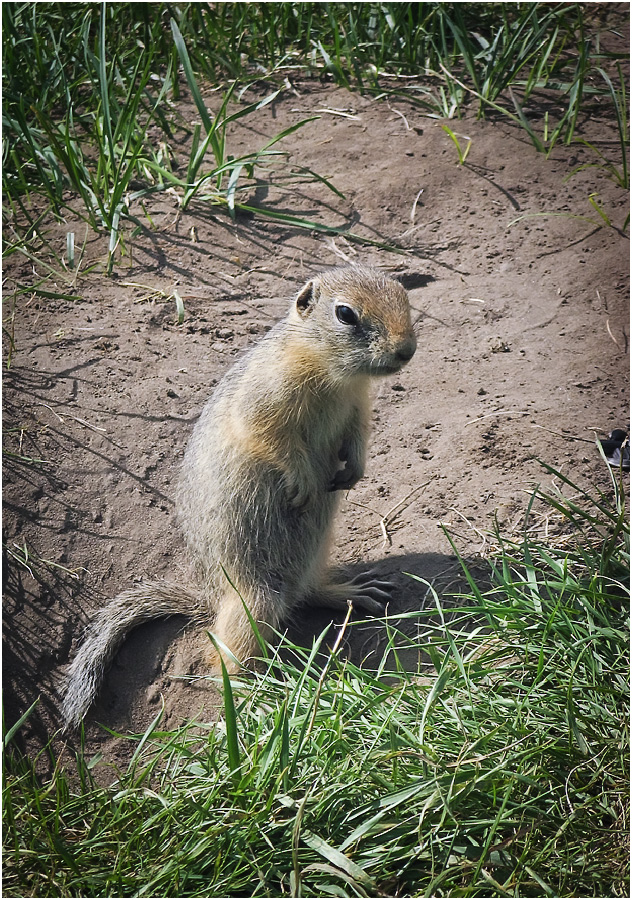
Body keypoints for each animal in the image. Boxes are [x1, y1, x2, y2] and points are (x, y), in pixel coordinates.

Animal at [61, 266, 418, 724]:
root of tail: (208, 597)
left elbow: (357, 437)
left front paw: (354, 471)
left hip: (315, 553)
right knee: (223, 658)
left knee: (306, 593)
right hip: (255, 600)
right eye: (345, 314)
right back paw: (258, 693)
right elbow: (269, 438)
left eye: (403, 295)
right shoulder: (266, 396)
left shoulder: (358, 406)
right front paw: (303, 481)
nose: (407, 350)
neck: (334, 375)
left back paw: (350, 593)